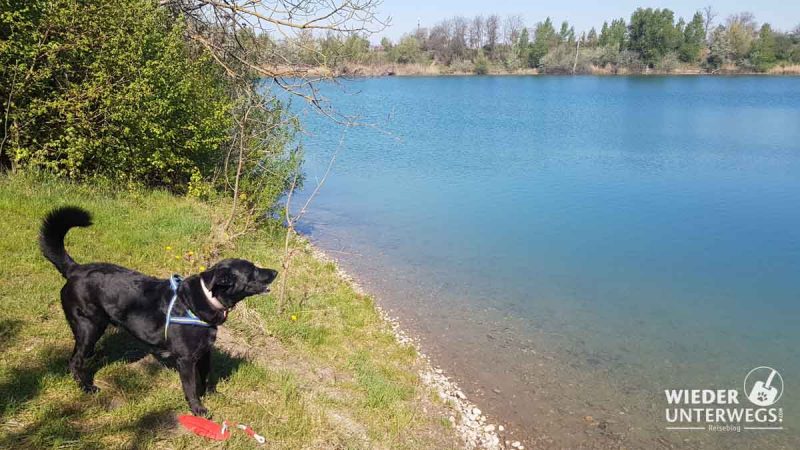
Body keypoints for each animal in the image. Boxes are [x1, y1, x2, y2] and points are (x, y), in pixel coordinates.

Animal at [40, 206, 278, 416]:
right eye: (253, 270)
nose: (275, 272)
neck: (205, 298)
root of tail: (75, 269)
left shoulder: (204, 353)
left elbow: (205, 378)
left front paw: (211, 395)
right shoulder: (185, 359)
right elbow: (191, 387)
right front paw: (198, 409)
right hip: (89, 326)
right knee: (75, 361)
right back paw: (86, 387)